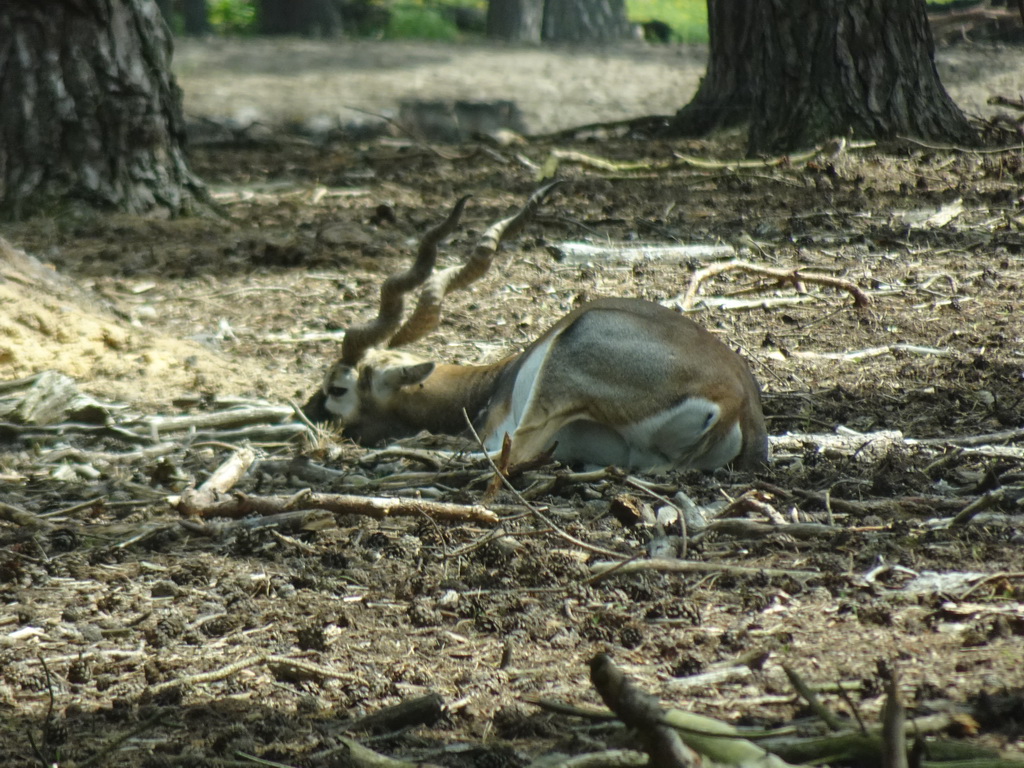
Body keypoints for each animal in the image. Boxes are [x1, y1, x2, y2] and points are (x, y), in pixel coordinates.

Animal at [303, 187, 770, 475]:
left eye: (337, 387)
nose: (308, 415)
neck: (492, 382)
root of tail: (735, 402)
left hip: (561, 372)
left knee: (505, 457)